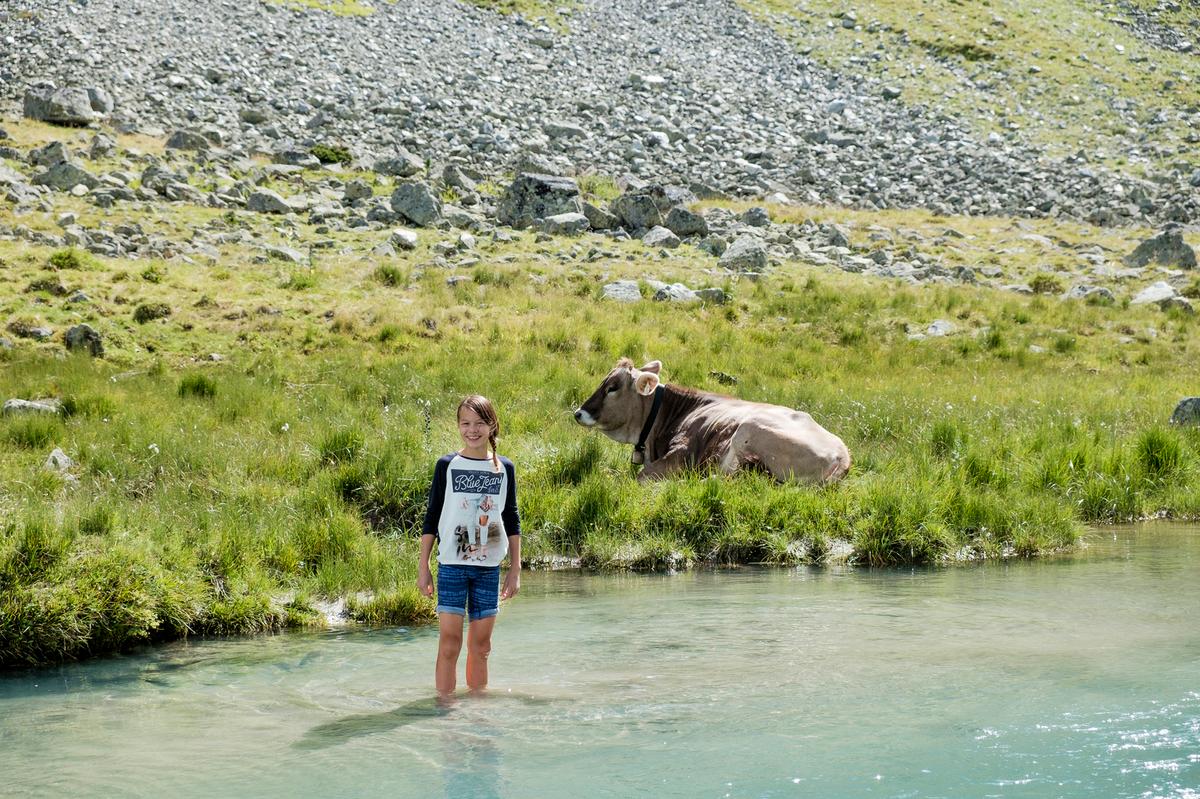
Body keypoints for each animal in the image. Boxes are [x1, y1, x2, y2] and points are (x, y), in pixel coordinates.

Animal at [573, 357, 849, 482]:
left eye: (612, 387)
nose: (578, 413)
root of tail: (842, 456)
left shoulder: (682, 454)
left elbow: (642, 477)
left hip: (747, 429)